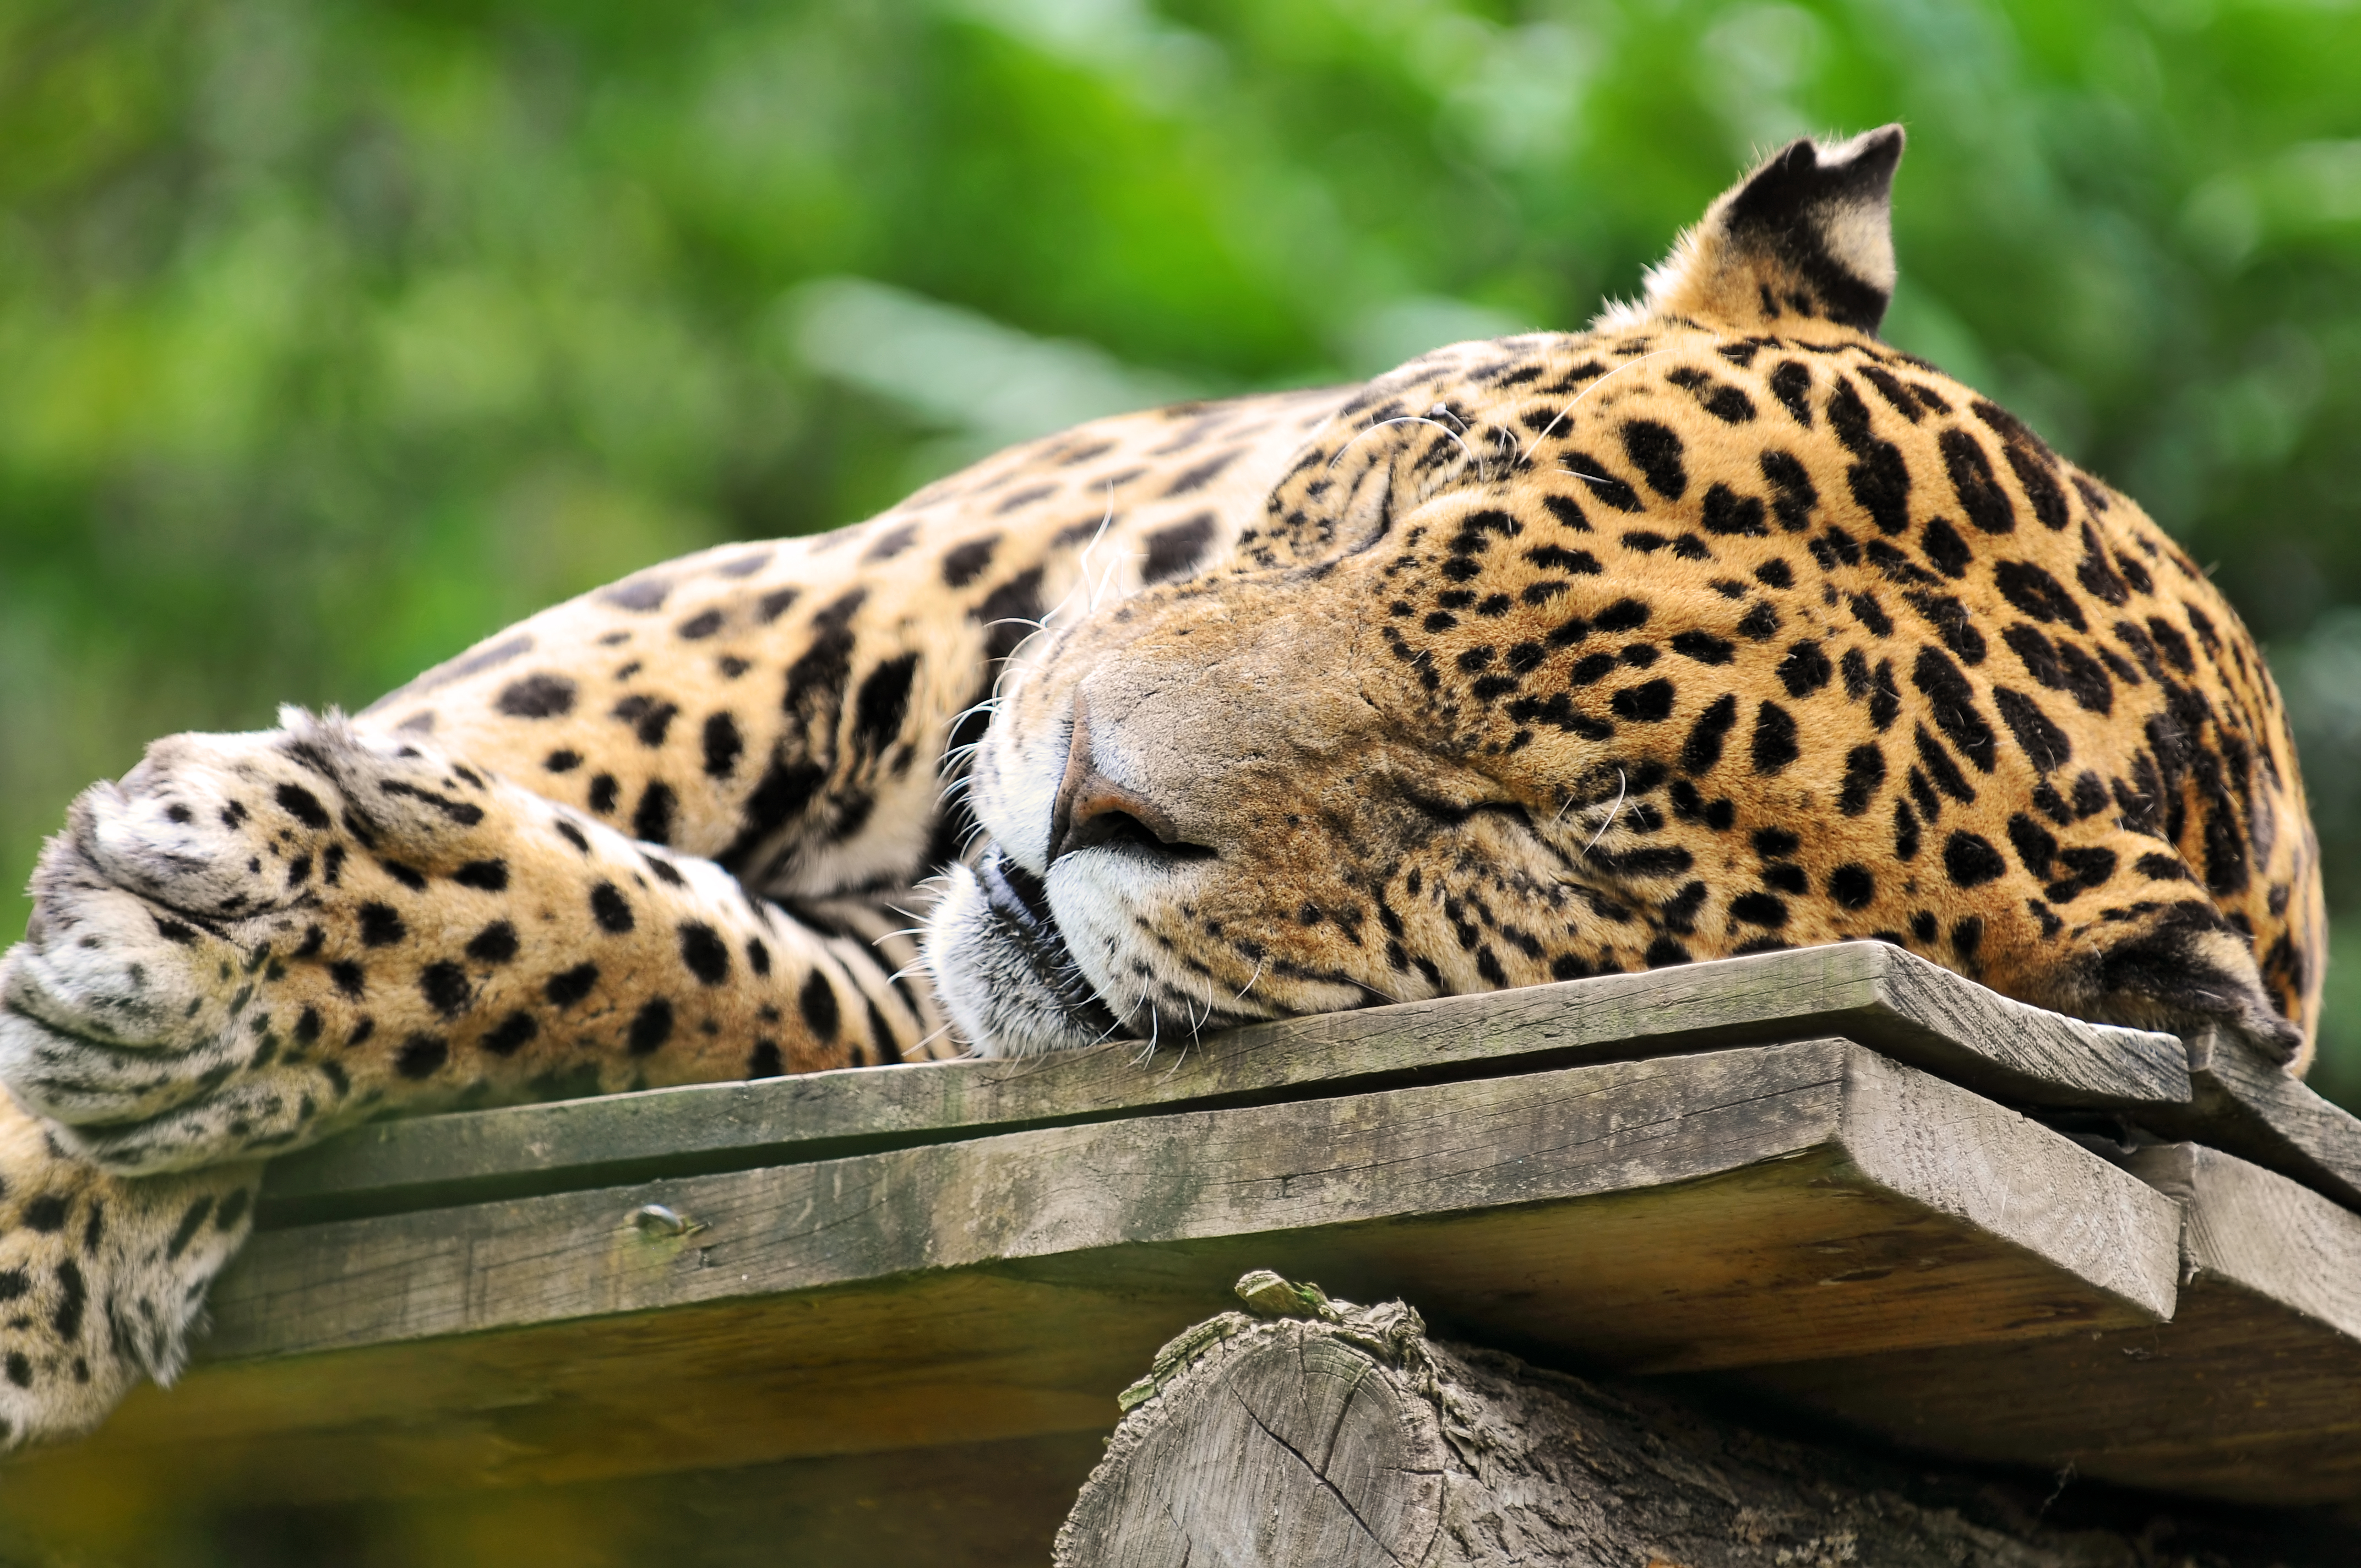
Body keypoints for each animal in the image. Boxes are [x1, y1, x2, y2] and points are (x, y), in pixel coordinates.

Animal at [0, 126, 2322, 1453]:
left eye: (1546, 823)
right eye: (1376, 501)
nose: (1074, 795)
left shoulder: (928, 999)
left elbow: (673, 957)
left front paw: (238, 967)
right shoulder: (850, 584)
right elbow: (591, 707)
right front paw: (104, 1094)